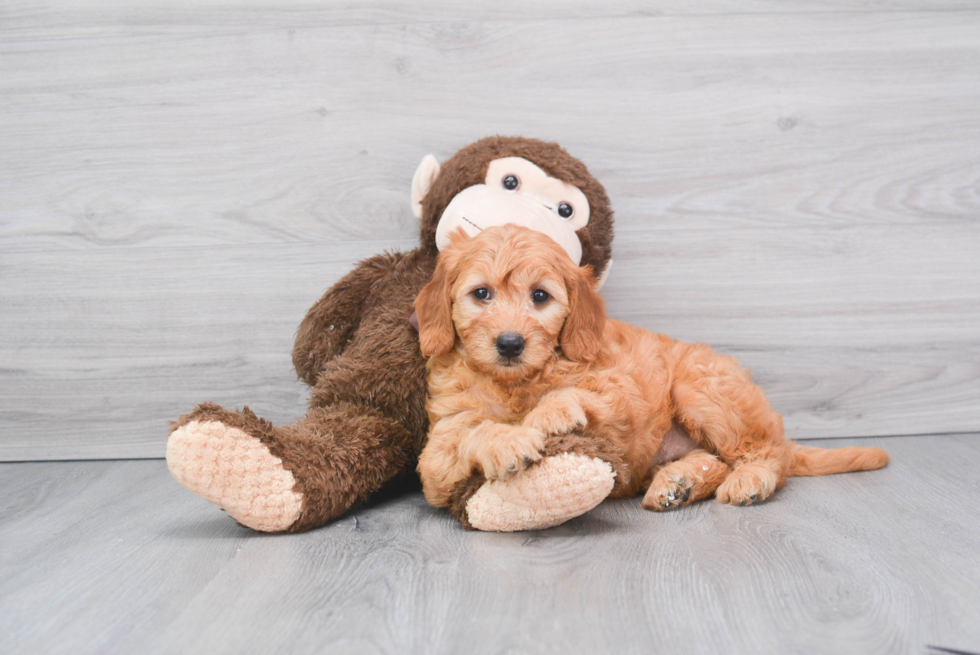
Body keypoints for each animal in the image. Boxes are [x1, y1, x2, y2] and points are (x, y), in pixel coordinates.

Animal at [414, 226, 888, 512]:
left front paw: (549, 413)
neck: (517, 384)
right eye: (481, 294)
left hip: (700, 387)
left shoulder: (624, 394)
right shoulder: (438, 454)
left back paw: (748, 479)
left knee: (769, 454)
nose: (511, 343)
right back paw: (677, 483)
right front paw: (508, 441)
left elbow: (582, 394)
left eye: (540, 297)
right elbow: (472, 433)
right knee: (713, 460)